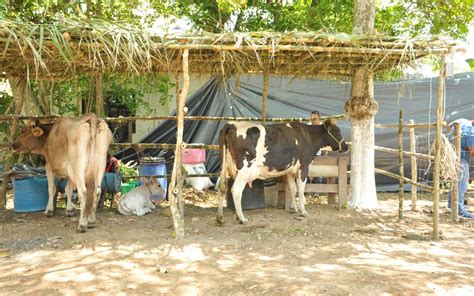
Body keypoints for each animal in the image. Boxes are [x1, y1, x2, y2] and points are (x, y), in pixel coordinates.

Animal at [218, 119, 348, 223]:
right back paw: (242, 218)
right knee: (236, 190)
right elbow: (301, 190)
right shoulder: (304, 166)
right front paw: (303, 211)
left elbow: (293, 188)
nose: (346, 146)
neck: (309, 136)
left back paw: (220, 218)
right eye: (337, 131)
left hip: (225, 166)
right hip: (244, 169)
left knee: (222, 187)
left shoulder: (290, 170)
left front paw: (293, 208)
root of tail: (231, 123)